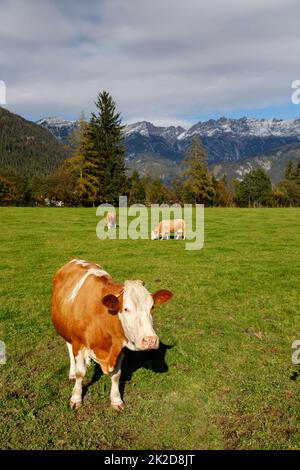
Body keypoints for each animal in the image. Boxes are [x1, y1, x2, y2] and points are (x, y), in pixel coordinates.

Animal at [50, 260, 172, 412]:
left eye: (152, 307)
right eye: (126, 308)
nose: (150, 340)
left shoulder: (120, 347)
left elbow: (116, 375)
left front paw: (116, 399)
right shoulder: (78, 343)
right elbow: (80, 373)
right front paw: (76, 398)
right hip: (65, 330)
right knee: (69, 347)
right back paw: (72, 372)